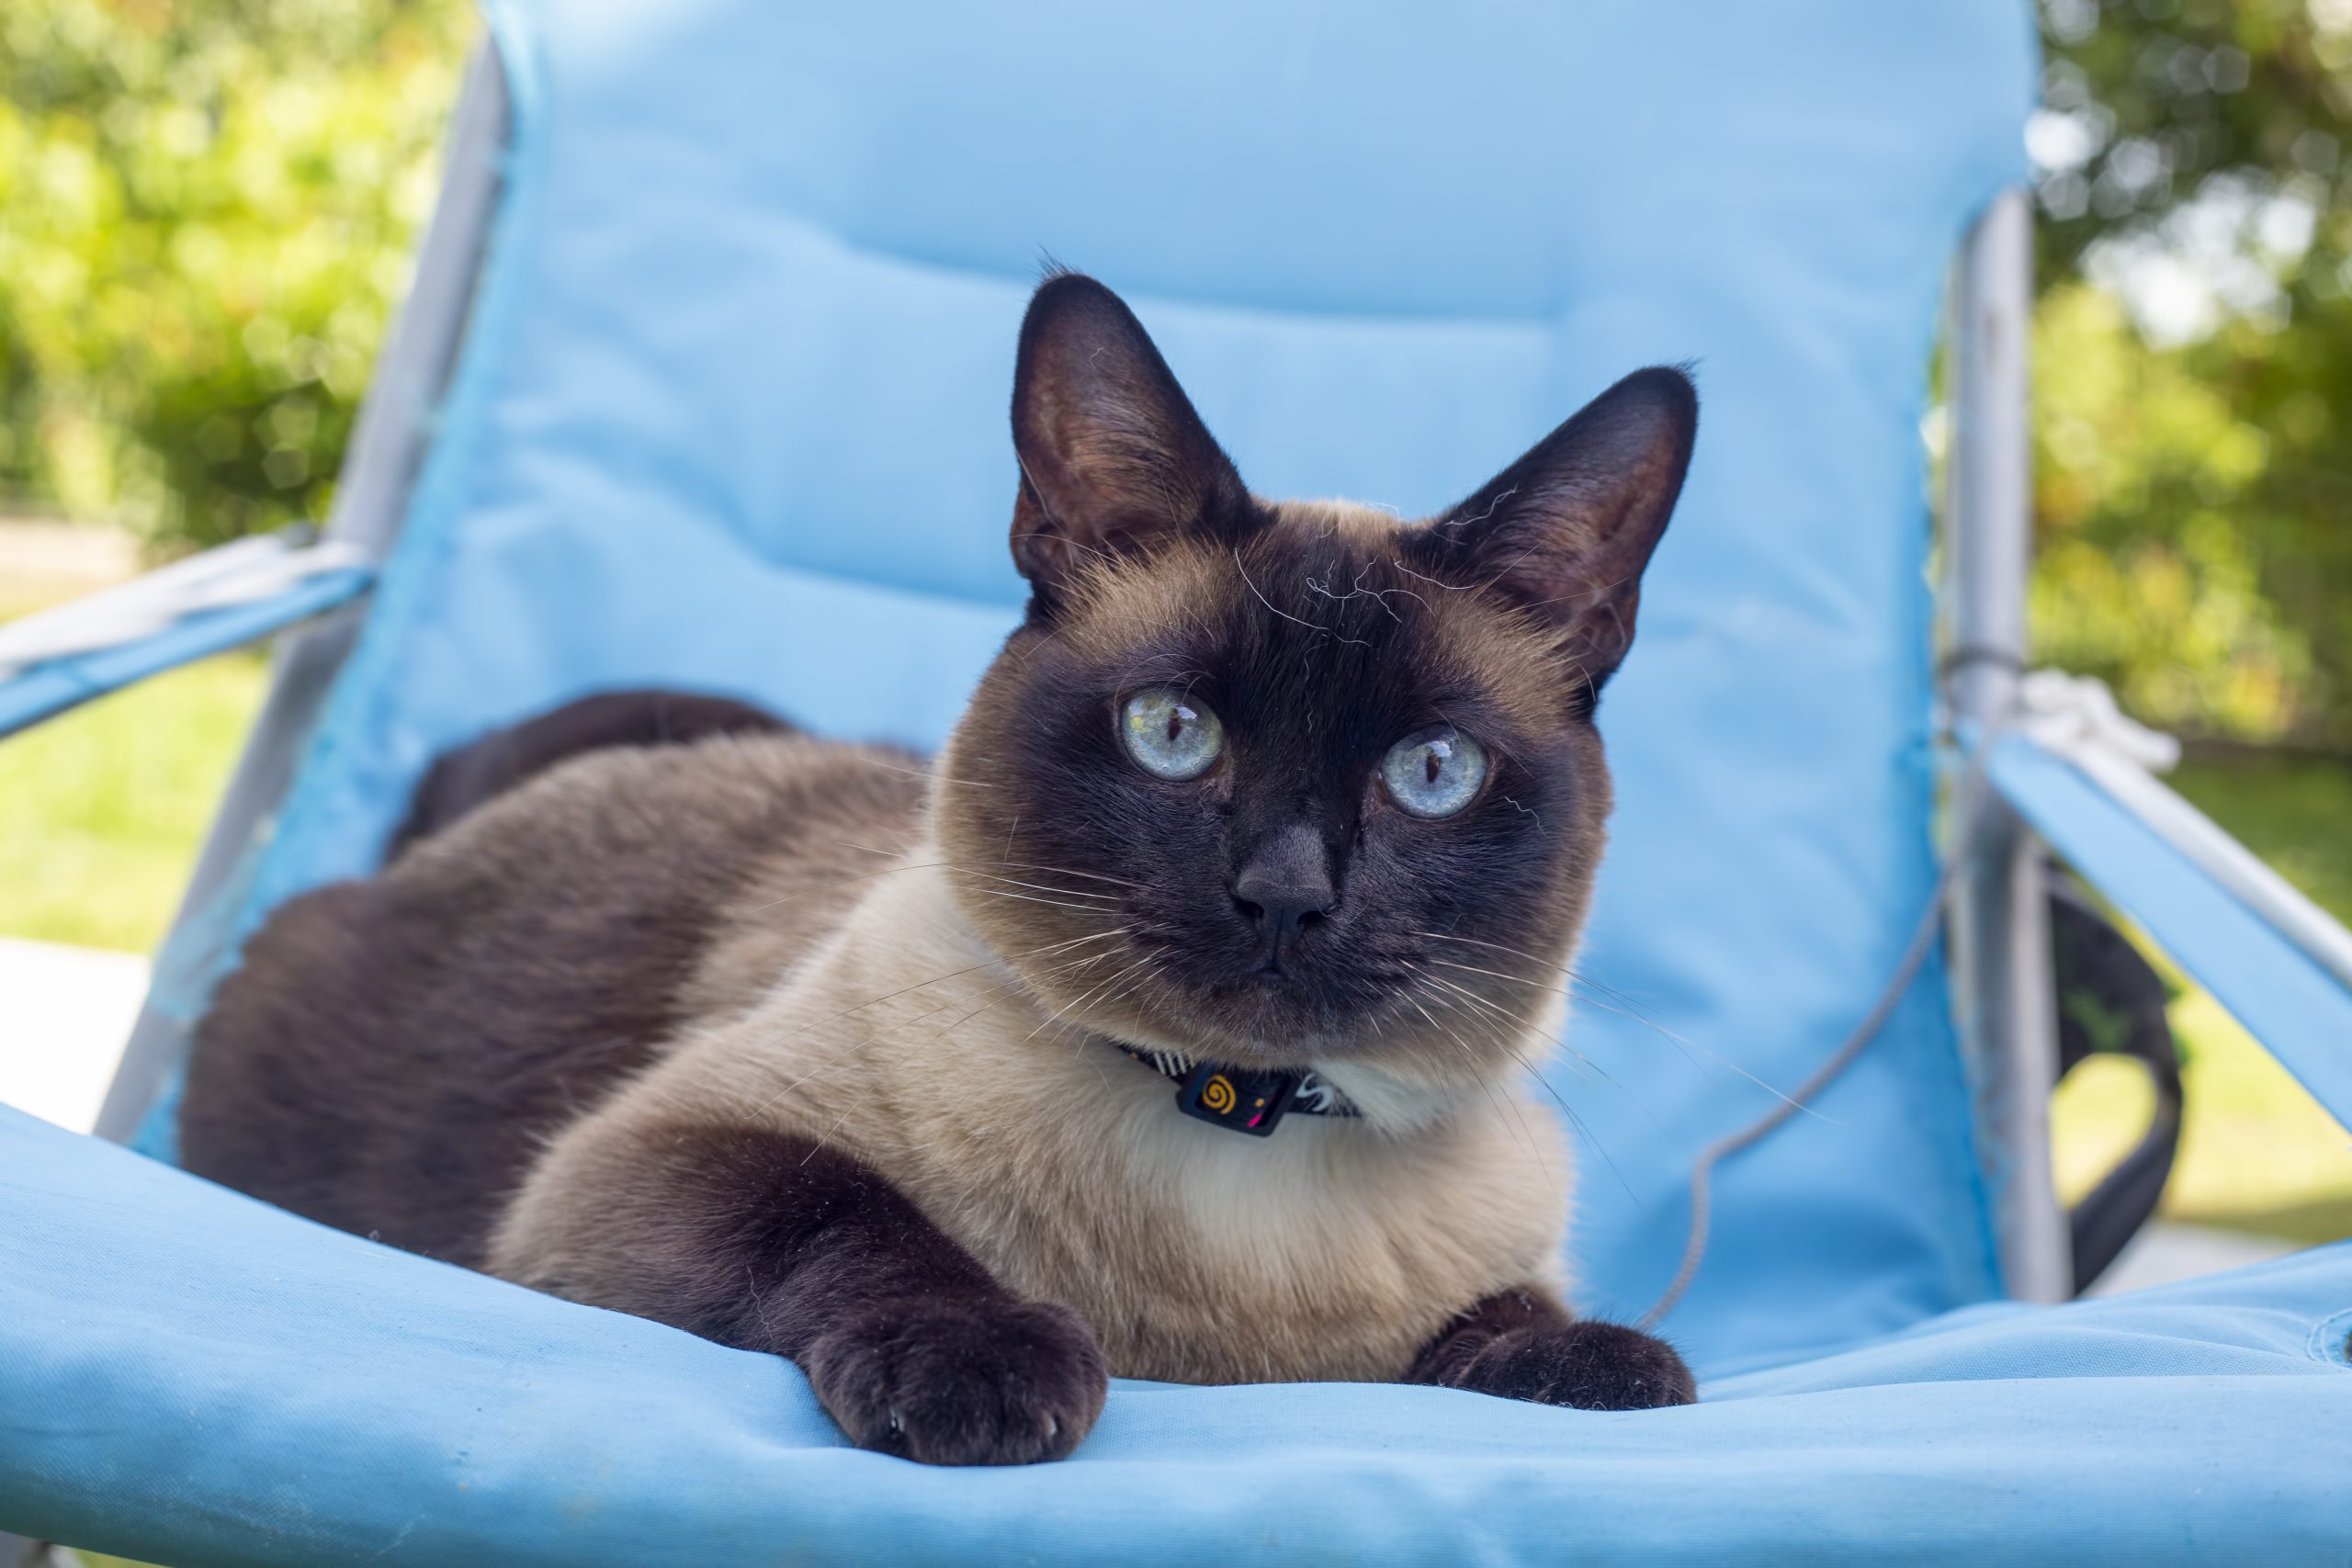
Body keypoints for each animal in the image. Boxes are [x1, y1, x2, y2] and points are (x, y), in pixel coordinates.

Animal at [174, 270, 1702, 1457]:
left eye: (1431, 773)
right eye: (1173, 732)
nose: (1284, 895)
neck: (1234, 1140)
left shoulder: (1488, 1265)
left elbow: (1516, 1314)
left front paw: (1603, 1366)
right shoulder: (640, 1167)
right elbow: (849, 1213)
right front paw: (992, 1365)